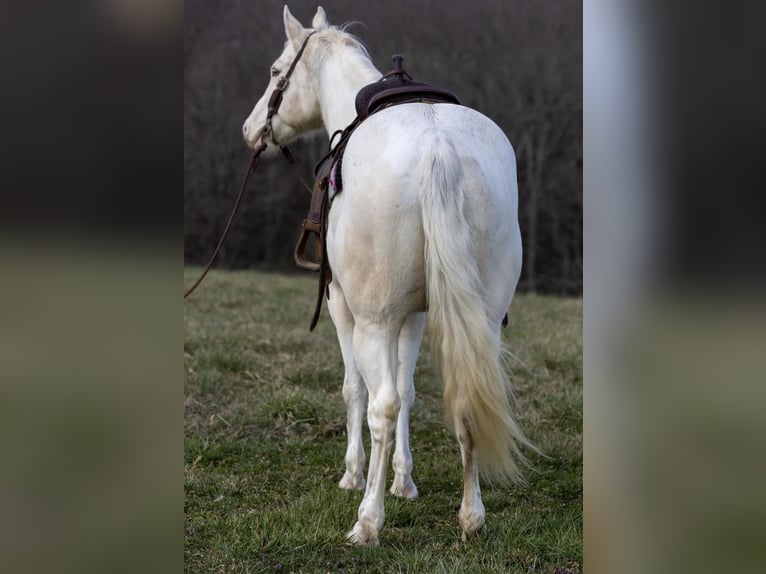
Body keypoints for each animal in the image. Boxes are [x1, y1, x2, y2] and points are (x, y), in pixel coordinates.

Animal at [243, 6, 532, 548]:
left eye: (275, 71)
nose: (251, 130)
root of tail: (438, 145)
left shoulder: (343, 306)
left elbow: (357, 391)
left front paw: (356, 476)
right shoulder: (416, 315)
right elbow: (411, 388)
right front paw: (404, 480)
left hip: (372, 321)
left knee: (382, 405)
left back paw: (368, 520)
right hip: (478, 319)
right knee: (466, 401)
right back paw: (471, 515)